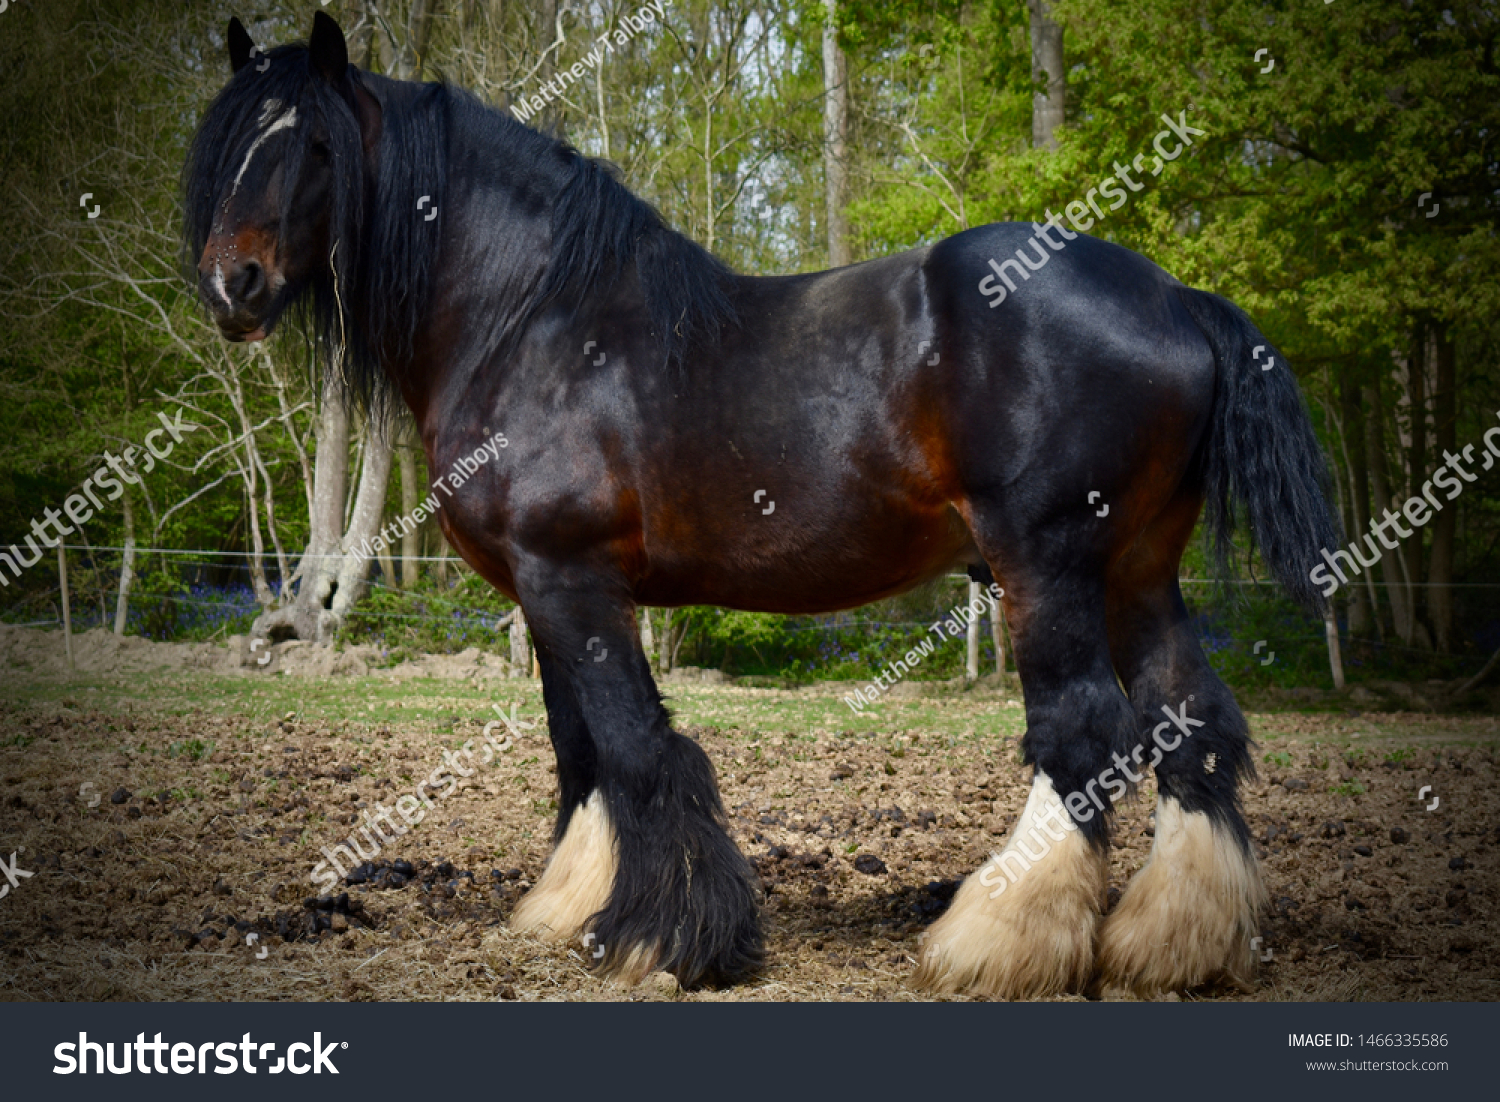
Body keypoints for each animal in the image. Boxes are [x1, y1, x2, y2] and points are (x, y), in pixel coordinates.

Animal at [181, 12, 1344, 1001]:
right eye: (230, 142)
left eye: (314, 145)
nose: (233, 284)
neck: (535, 319)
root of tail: (1176, 298)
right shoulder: (547, 592)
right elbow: (580, 752)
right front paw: (572, 909)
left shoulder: (571, 578)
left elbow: (639, 750)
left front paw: (672, 940)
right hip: (1137, 568)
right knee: (1191, 724)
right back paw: (1172, 944)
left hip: (1049, 565)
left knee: (1085, 734)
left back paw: (993, 943)